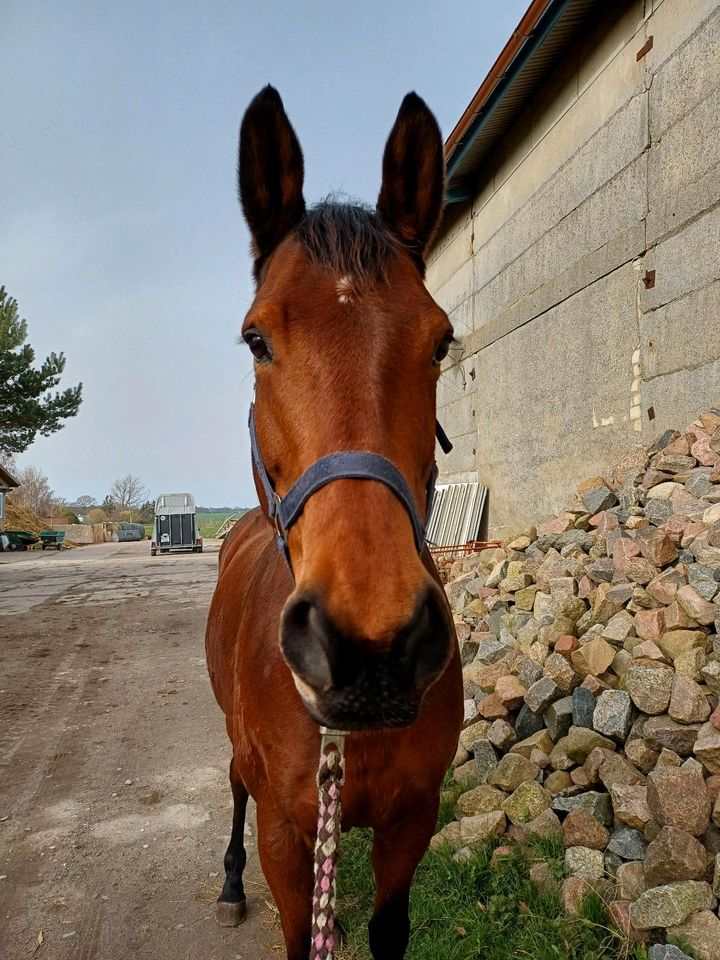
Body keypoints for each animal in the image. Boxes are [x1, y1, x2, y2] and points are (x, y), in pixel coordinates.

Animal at [204, 84, 462, 960]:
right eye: (255, 338)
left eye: (442, 340)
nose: (370, 646)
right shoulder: (285, 833)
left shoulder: (411, 821)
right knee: (232, 788)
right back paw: (227, 884)